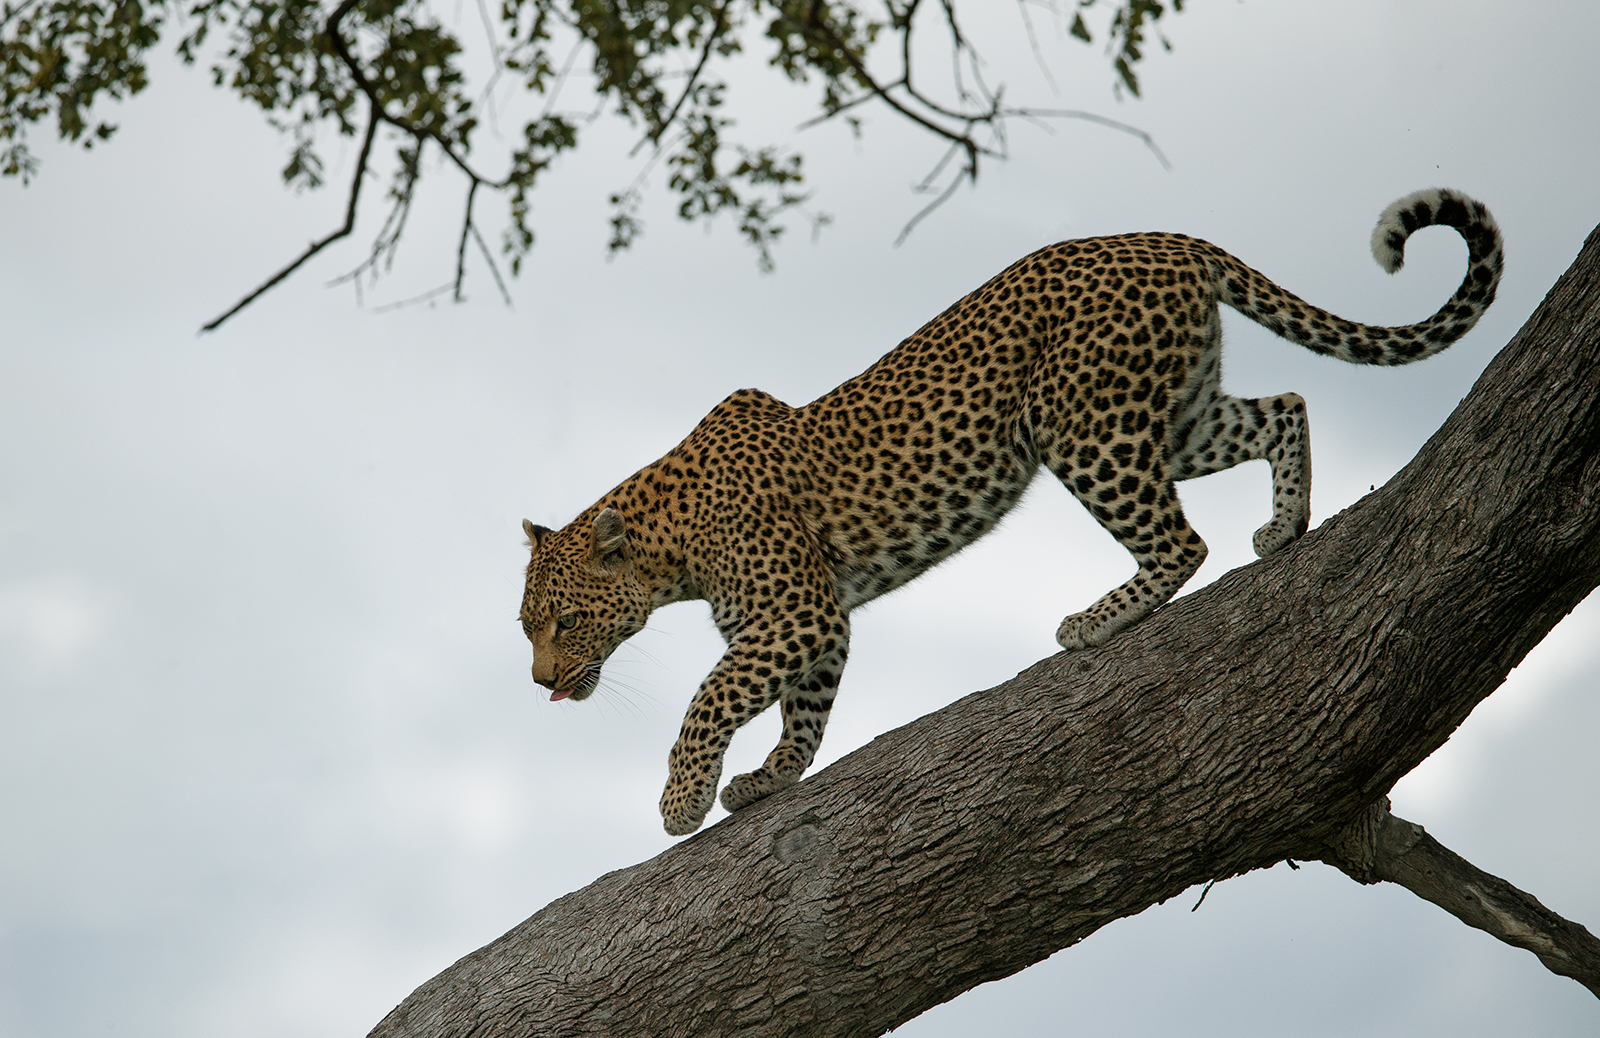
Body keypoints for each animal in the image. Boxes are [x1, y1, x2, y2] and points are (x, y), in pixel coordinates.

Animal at [520, 187, 1502, 836]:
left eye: (562, 621)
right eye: (530, 627)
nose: (538, 683)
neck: (667, 551)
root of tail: (1164, 236)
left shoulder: (793, 612)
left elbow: (710, 695)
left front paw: (682, 799)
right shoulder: (817, 621)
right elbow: (805, 709)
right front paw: (770, 780)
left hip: (1084, 425)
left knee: (1181, 539)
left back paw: (1097, 619)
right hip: (1174, 414)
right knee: (1284, 407)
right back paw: (1284, 526)